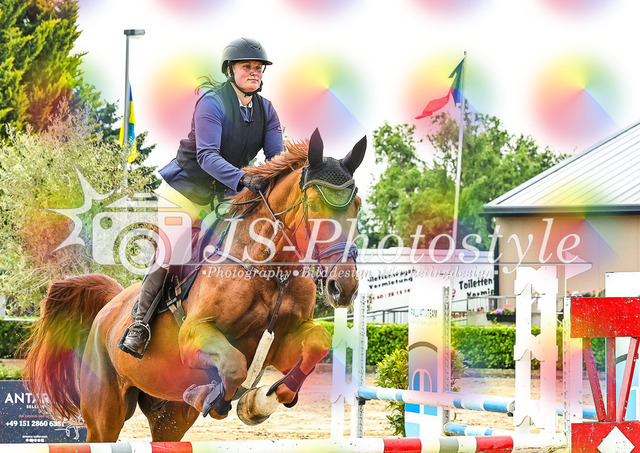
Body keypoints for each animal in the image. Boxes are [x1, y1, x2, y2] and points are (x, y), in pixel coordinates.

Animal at [23, 129, 366, 442]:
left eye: (358, 205)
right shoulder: (193, 334)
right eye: (313, 205)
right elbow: (234, 366)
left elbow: (318, 342)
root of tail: (110, 305)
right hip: (104, 413)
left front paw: (263, 400)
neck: (270, 272)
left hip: (169, 417)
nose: (343, 287)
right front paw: (215, 397)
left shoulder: (283, 342)